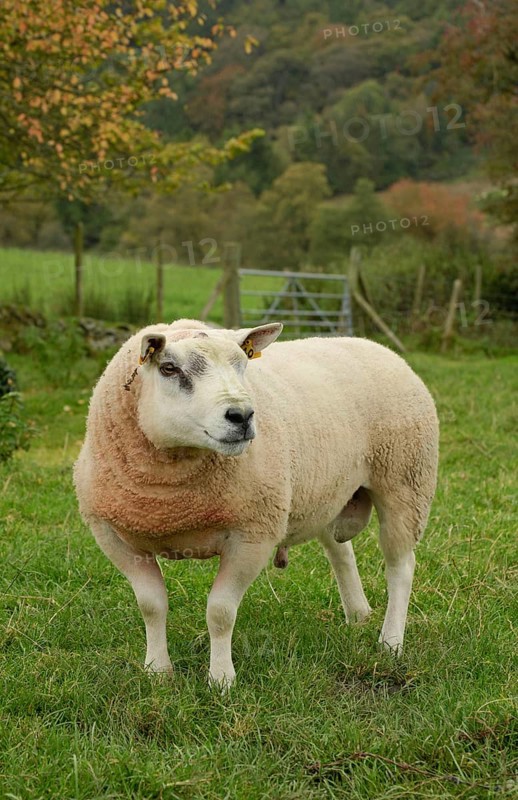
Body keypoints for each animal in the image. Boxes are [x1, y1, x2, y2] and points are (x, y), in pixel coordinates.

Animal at [74, 318, 439, 687]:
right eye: (169, 368)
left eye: (242, 364)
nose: (243, 415)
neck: (171, 501)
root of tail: (375, 346)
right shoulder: (113, 536)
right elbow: (151, 605)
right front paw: (158, 671)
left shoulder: (253, 535)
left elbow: (220, 612)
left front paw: (221, 680)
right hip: (327, 492)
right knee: (341, 552)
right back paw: (358, 614)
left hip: (405, 482)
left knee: (400, 566)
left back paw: (390, 642)